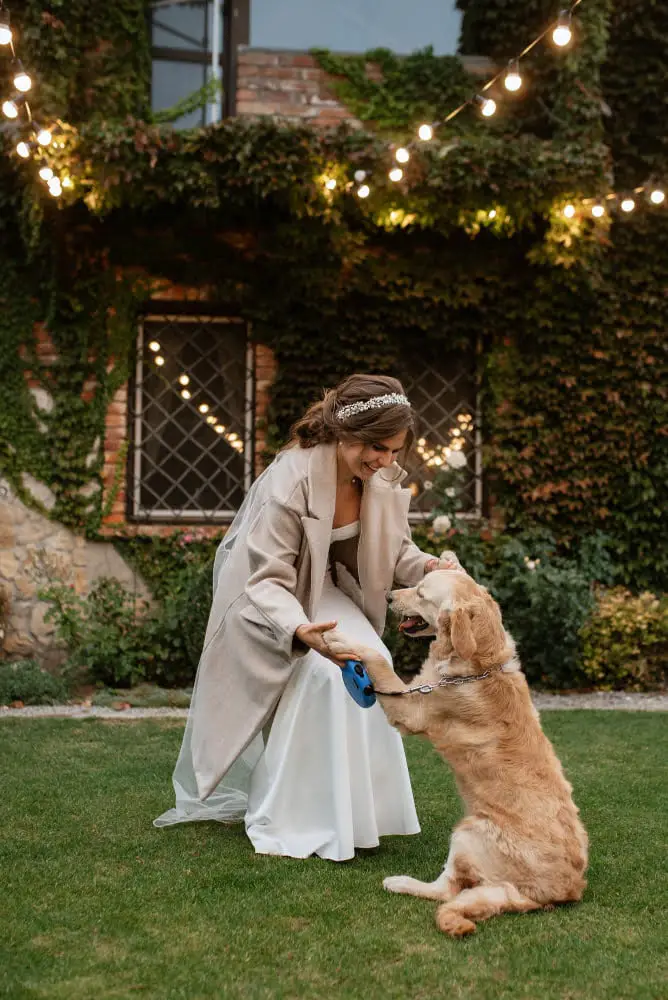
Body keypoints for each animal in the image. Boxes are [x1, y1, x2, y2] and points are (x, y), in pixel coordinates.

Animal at [326, 556, 588, 936]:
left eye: (421, 593)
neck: (482, 664)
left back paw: (400, 882)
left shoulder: (408, 706)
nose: (389, 596)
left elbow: (375, 657)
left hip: (468, 831)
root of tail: (558, 892)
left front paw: (336, 636)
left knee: (447, 890)